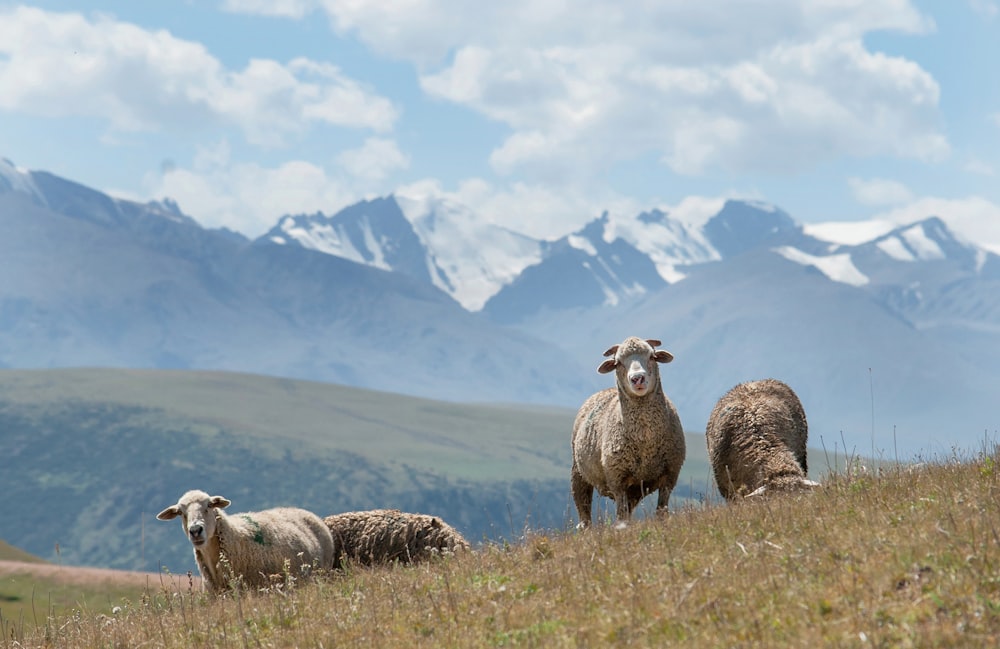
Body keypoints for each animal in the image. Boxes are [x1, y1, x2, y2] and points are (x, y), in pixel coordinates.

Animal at [572, 334, 688, 528]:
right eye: (618, 362)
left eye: (652, 356)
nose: (637, 379)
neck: (645, 440)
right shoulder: (617, 480)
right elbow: (621, 517)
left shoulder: (670, 475)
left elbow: (661, 512)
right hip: (578, 472)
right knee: (583, 508)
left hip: (634, 491)